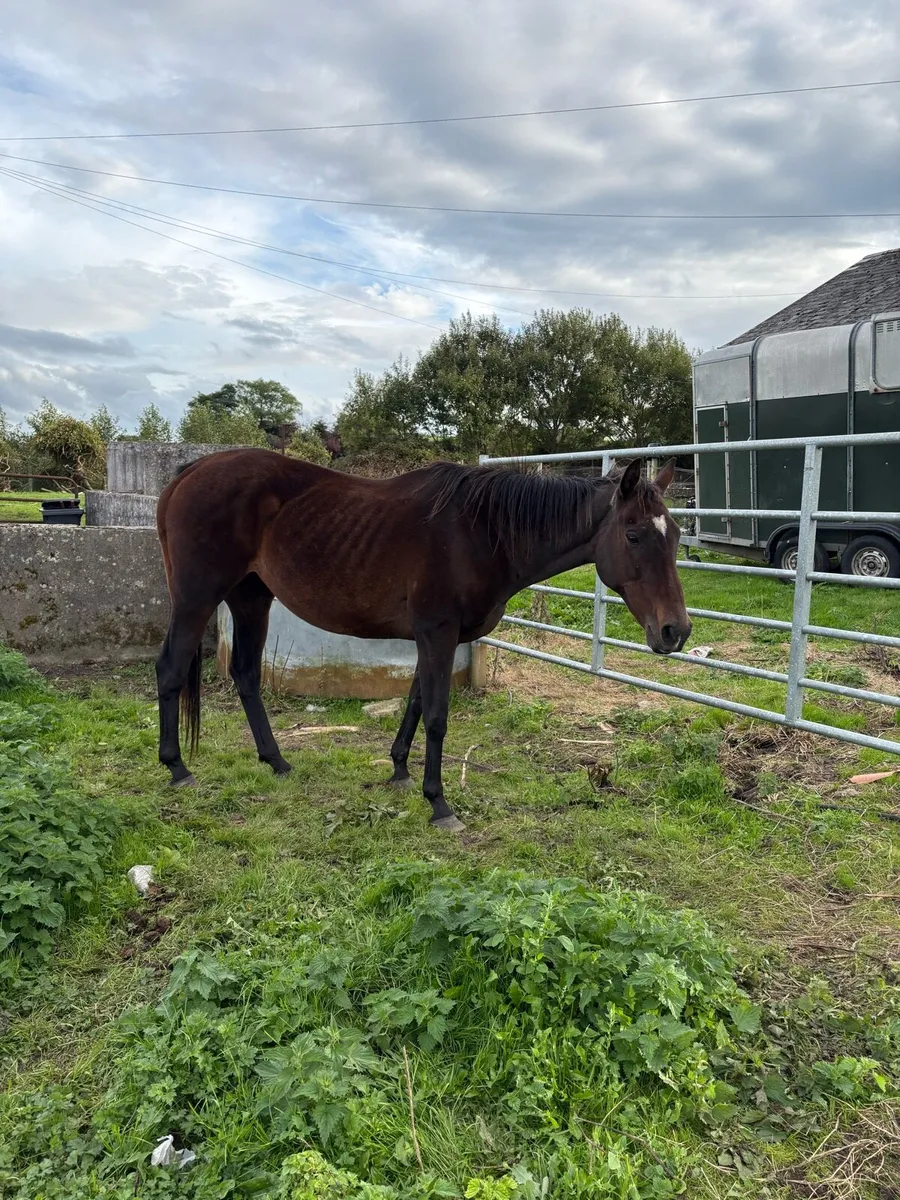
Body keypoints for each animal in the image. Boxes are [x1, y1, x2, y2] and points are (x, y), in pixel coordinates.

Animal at [155, 449, 691, 832]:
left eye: (677, 536)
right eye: (634, 535)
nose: (676, 631)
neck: (482, 533)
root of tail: (190, 472)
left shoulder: (432, 637)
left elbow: (414, 700)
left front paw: (399, 771)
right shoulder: (437, 631)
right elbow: (436, 714)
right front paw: (439, 803)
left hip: (251, 598)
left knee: (245, 674)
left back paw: (277, 762)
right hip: (198, 598)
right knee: (171, 669)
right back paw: (177, 768)